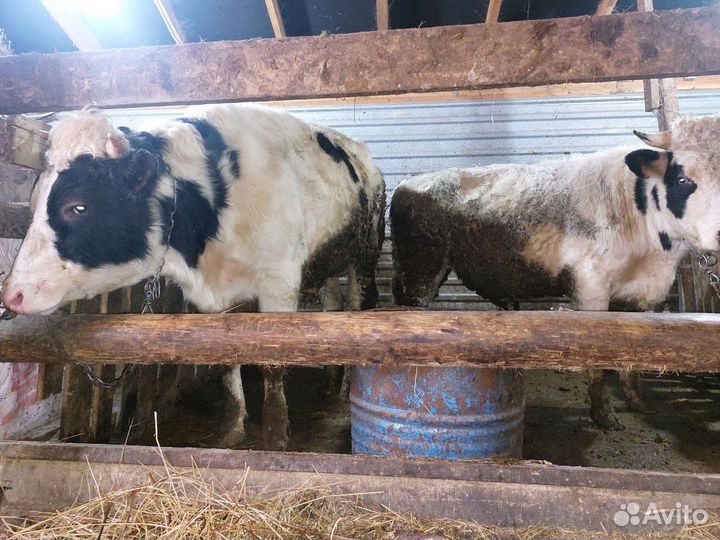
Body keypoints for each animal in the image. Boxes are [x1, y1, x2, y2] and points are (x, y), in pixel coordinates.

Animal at [1, 104, 386, 449]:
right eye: (33, 203)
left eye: (78, 206)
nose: (12, 294)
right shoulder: (217, 303)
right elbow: (224, 359)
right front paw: (233, 428)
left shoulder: (278, 283)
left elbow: (273, 363)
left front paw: (276, 436)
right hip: (328, 262)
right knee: (332, 309)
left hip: (364, 254)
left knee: (357, 305)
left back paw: (349, 391)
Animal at [390, 115, 720, 429]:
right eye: (683, 178)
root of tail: (408, 183)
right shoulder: (591, 289)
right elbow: (598, 362)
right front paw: (604, 415)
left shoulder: (647, 297)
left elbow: (633, 358)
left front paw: (636, 401)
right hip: (420, 272)